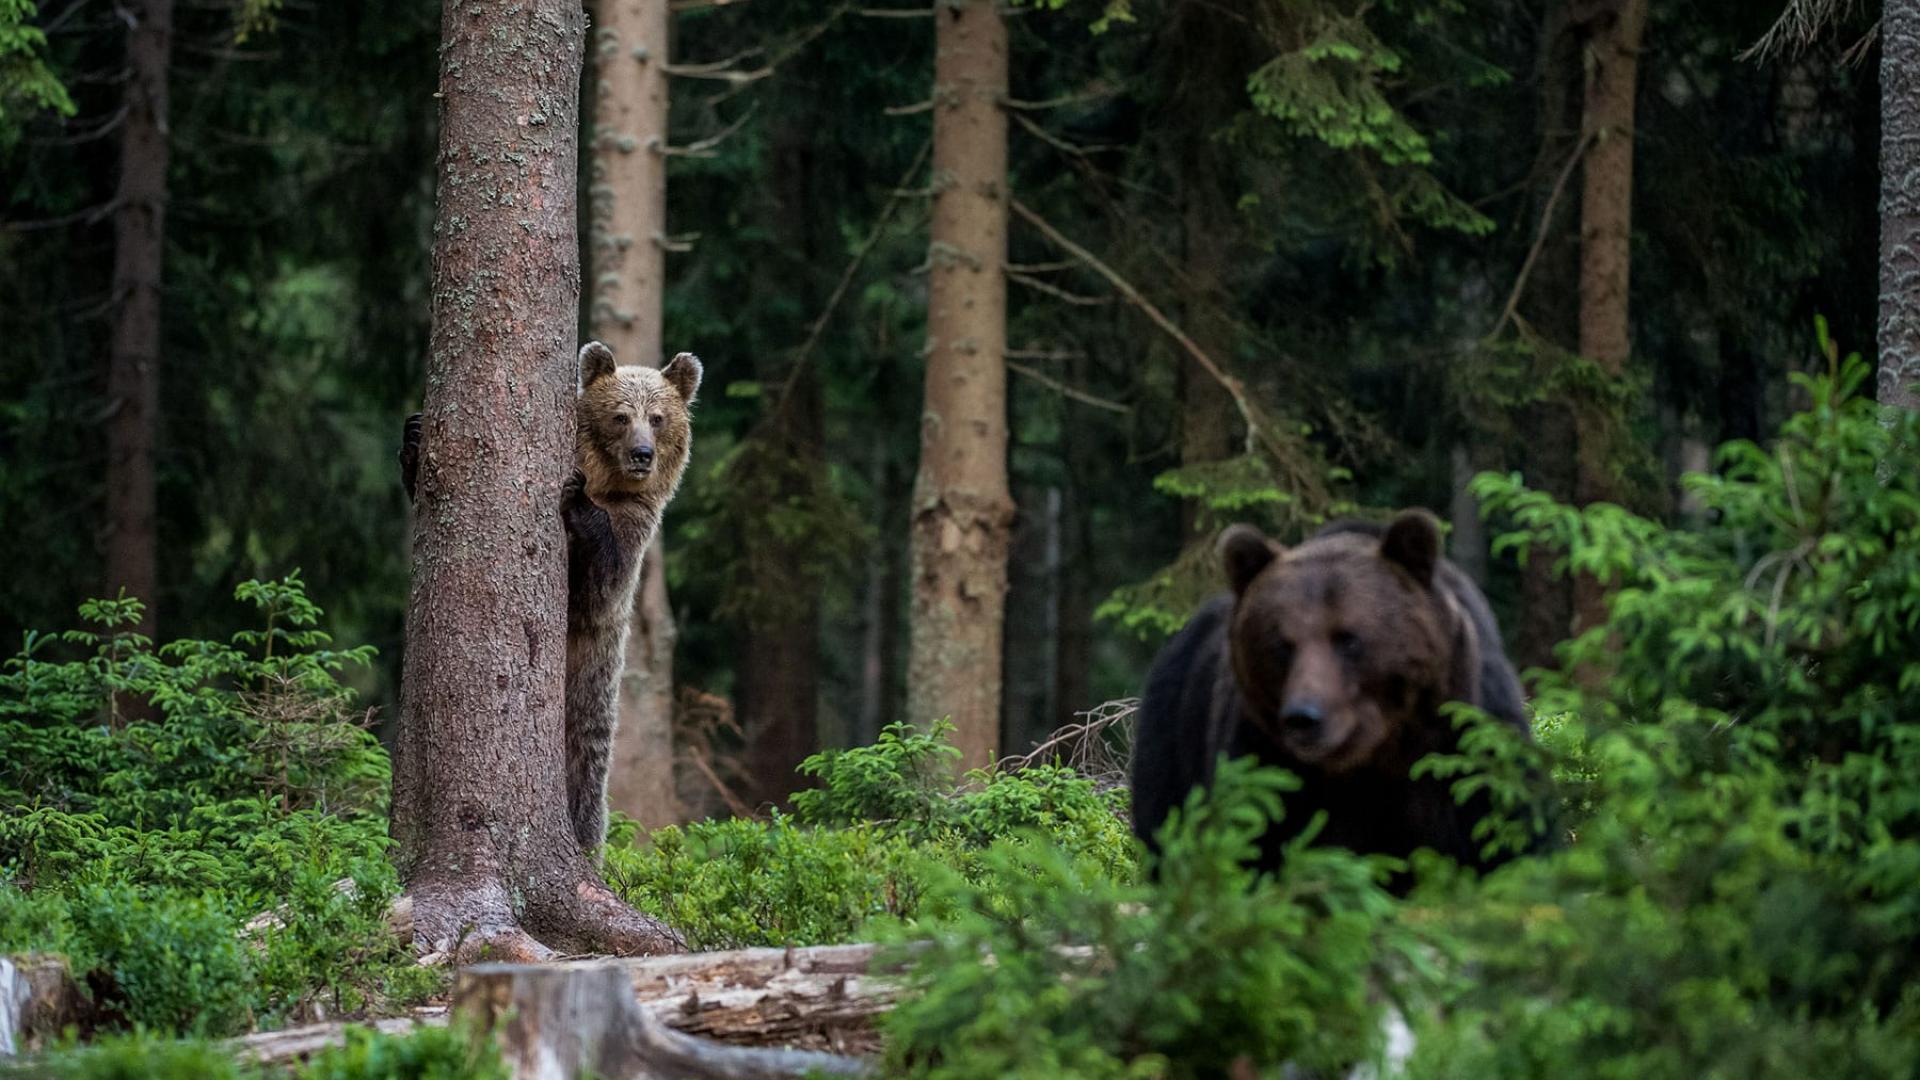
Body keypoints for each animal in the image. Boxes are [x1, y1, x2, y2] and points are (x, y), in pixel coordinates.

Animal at [1121, 507, 1528, 876]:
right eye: (1281, 645)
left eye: (1348, 638)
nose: (1305, 717)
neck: (1374, 758)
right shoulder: (1268, 768)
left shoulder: (1466, 755)